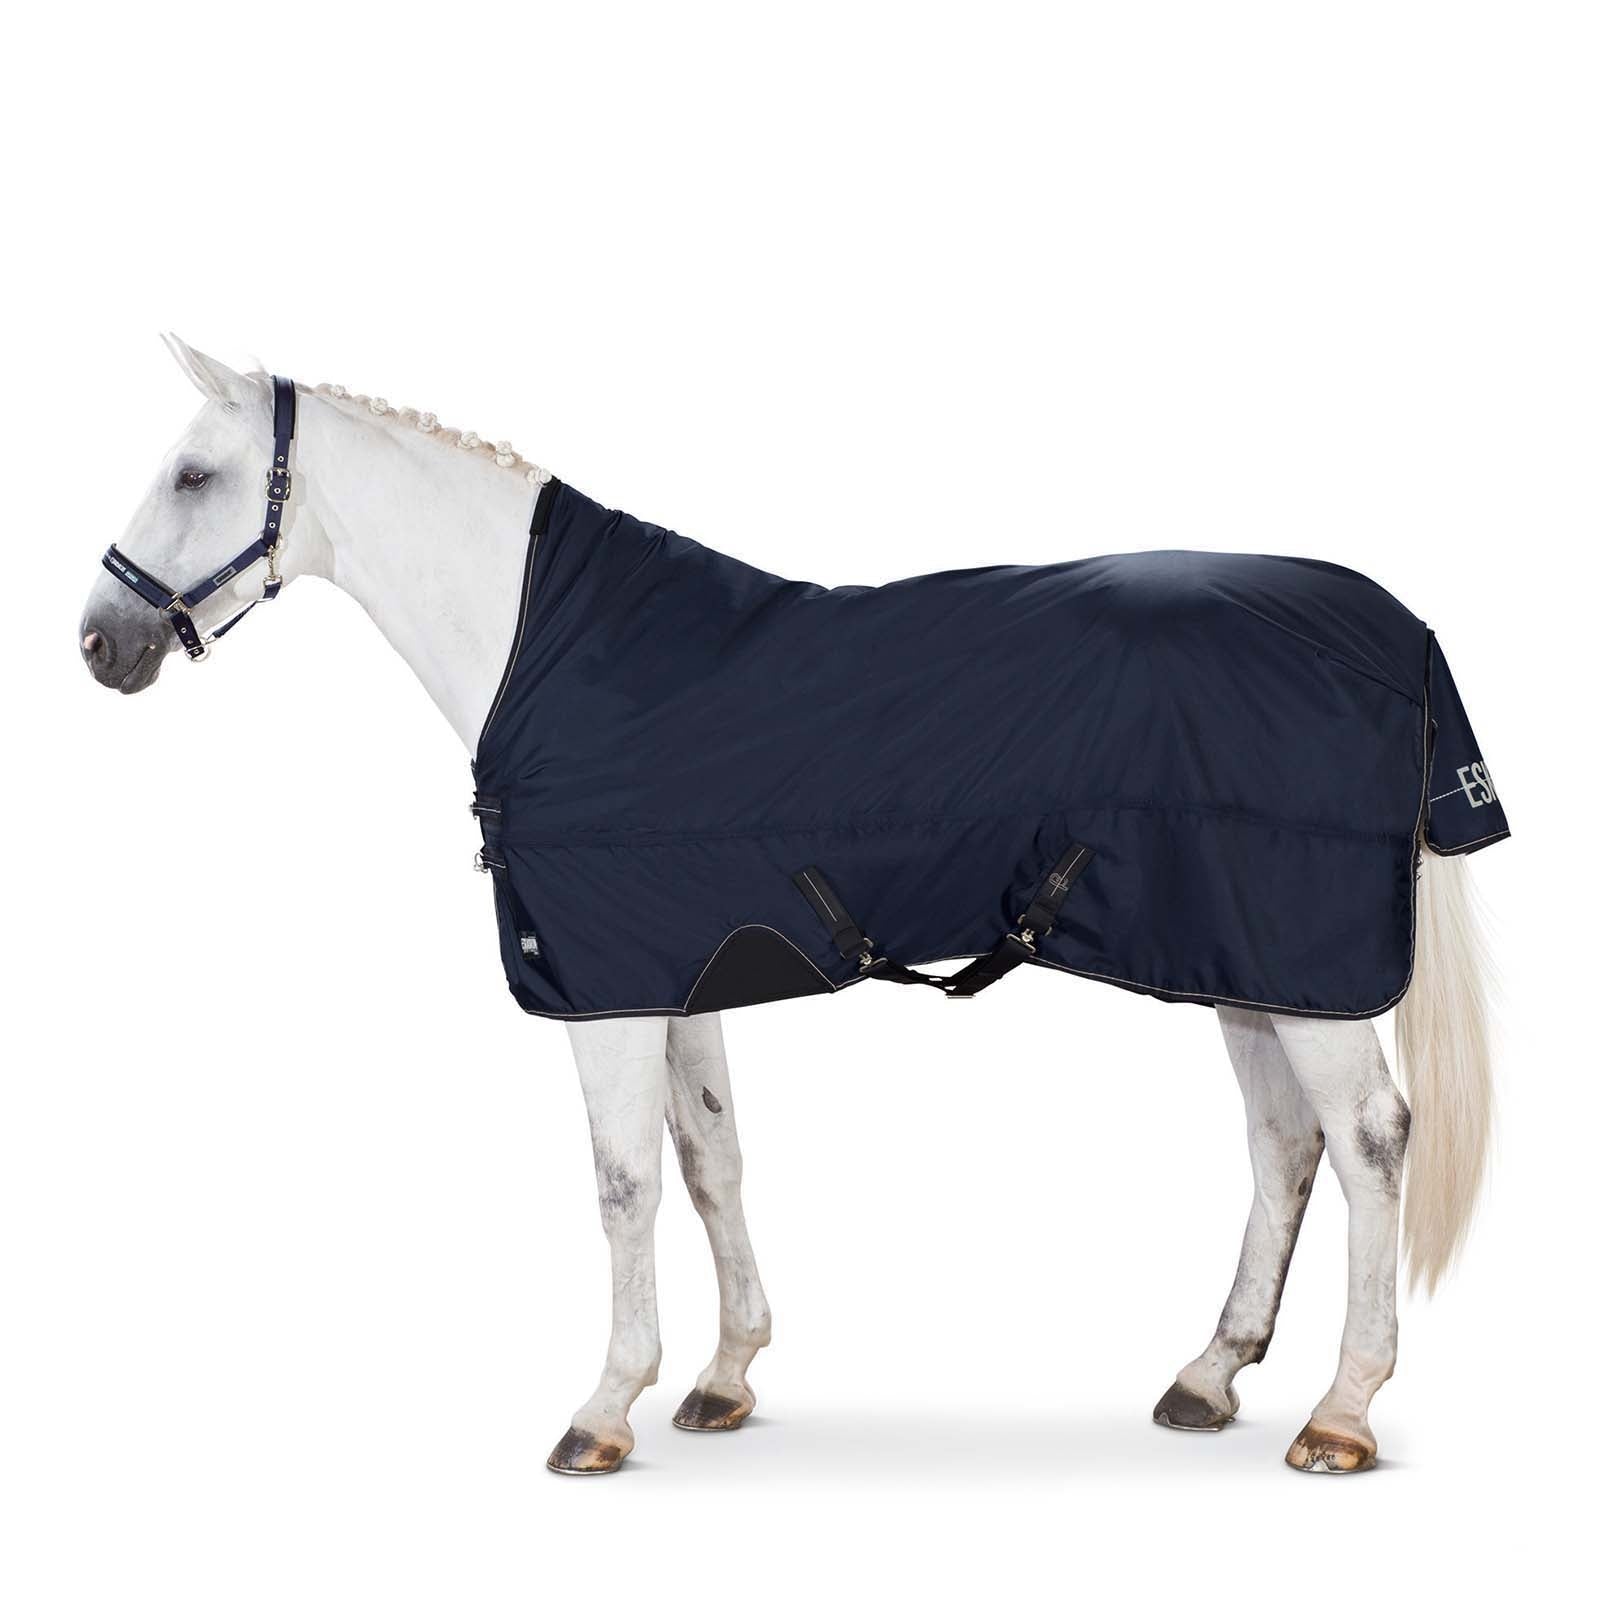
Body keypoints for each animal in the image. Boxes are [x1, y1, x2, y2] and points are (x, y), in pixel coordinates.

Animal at [79, 336, 1499, 1476]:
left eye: (193, 477)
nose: (99, 643)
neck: (556, 652)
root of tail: (1390, 632)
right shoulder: (678, 971)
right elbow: (710, 1162)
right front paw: (724, 1375)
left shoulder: (606, 990)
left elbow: (624, 1184)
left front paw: (605, 1405)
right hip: (1245, 962)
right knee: (1282, 1142)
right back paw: (1209, 1374)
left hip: (1301, 969)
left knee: (1368, 1139)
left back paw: (1341, 1411)